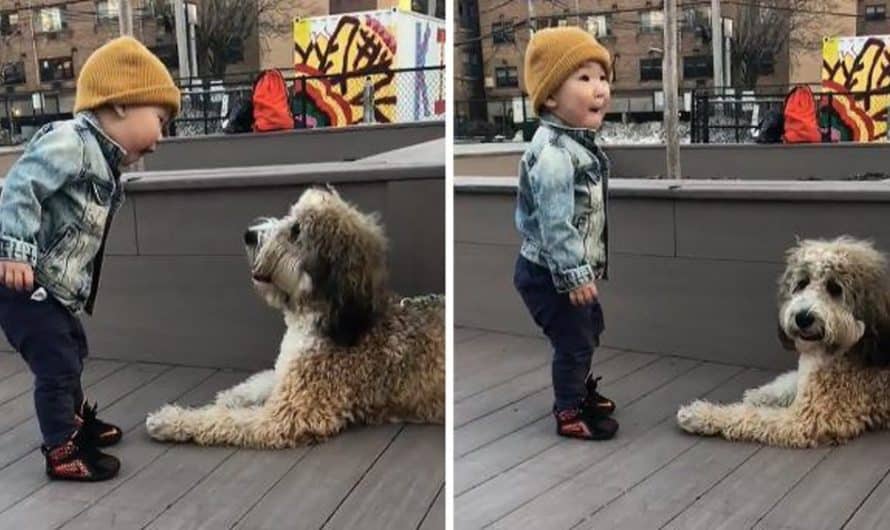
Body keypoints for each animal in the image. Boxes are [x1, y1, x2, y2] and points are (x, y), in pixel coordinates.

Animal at [145, 186, 444, 446]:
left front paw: (171, 419)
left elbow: (225, 419)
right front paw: (233, 395)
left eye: (296, 231)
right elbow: (262, 381)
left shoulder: (289, 413)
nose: (249, 234)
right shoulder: (288, 373)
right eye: (290, 216)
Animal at [672, 236, 888, 446]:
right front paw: (761, 395)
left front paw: (699, 414)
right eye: (802, 283)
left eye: (835, 288)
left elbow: (752, 415)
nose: (803, 318)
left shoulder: (807, 419)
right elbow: (789, 380)